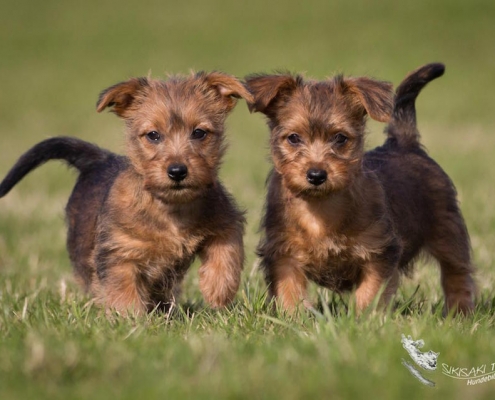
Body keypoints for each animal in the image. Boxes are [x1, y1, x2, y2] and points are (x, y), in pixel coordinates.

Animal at [0, 72, 254, 316]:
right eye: (153, 135)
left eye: (199, 133)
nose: (177, 171)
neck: (172, 207)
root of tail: (100, 159)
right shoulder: (118, 253)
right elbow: (123, 290)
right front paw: (129, 320)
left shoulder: (226, 221)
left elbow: (227, 252)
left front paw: (218, 290)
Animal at [248, 62, 476, 314]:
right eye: (294, 138)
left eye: (340, 138)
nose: (316, 175)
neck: (320, 208)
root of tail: (404, 142)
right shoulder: (283, 255)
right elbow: (290, 292)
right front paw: (293, 317)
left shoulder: (378, 253)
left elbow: (370, 292)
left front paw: (365, 319)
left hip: (448, 231)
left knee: (457, 274)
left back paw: (460, 312)